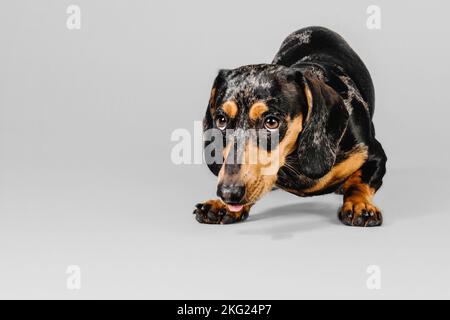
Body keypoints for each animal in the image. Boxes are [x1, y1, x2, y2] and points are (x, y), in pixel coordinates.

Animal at [193, 28, 386, 228]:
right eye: (221, 120)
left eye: (271, 122)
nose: (228, 193)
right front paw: (221, 206)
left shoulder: (375, 155)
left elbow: (358, 181)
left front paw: (359, 204)